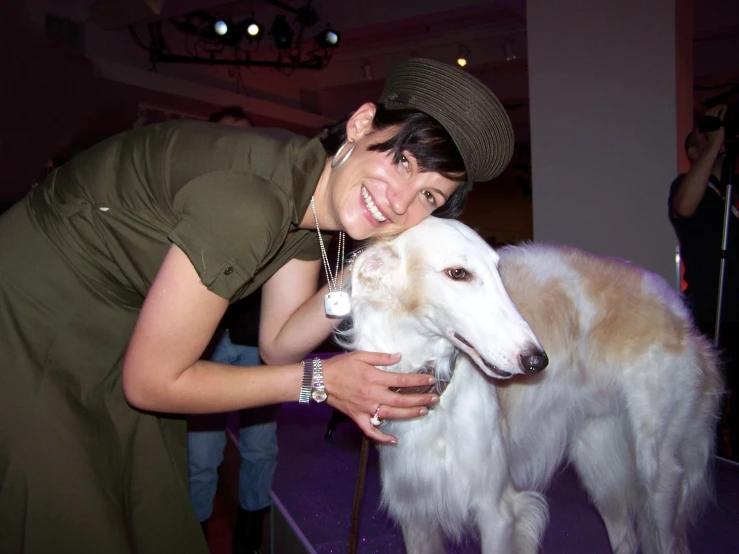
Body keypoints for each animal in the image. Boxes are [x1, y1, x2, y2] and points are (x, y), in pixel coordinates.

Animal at [344, 216, 724, 552]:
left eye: (498, 270)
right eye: (458, 273)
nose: (538, 361)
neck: (437, 394)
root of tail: (679, 309)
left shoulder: (498, 510)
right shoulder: (415, 514)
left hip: (657, 473)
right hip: (602, 464)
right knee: (626, 539)